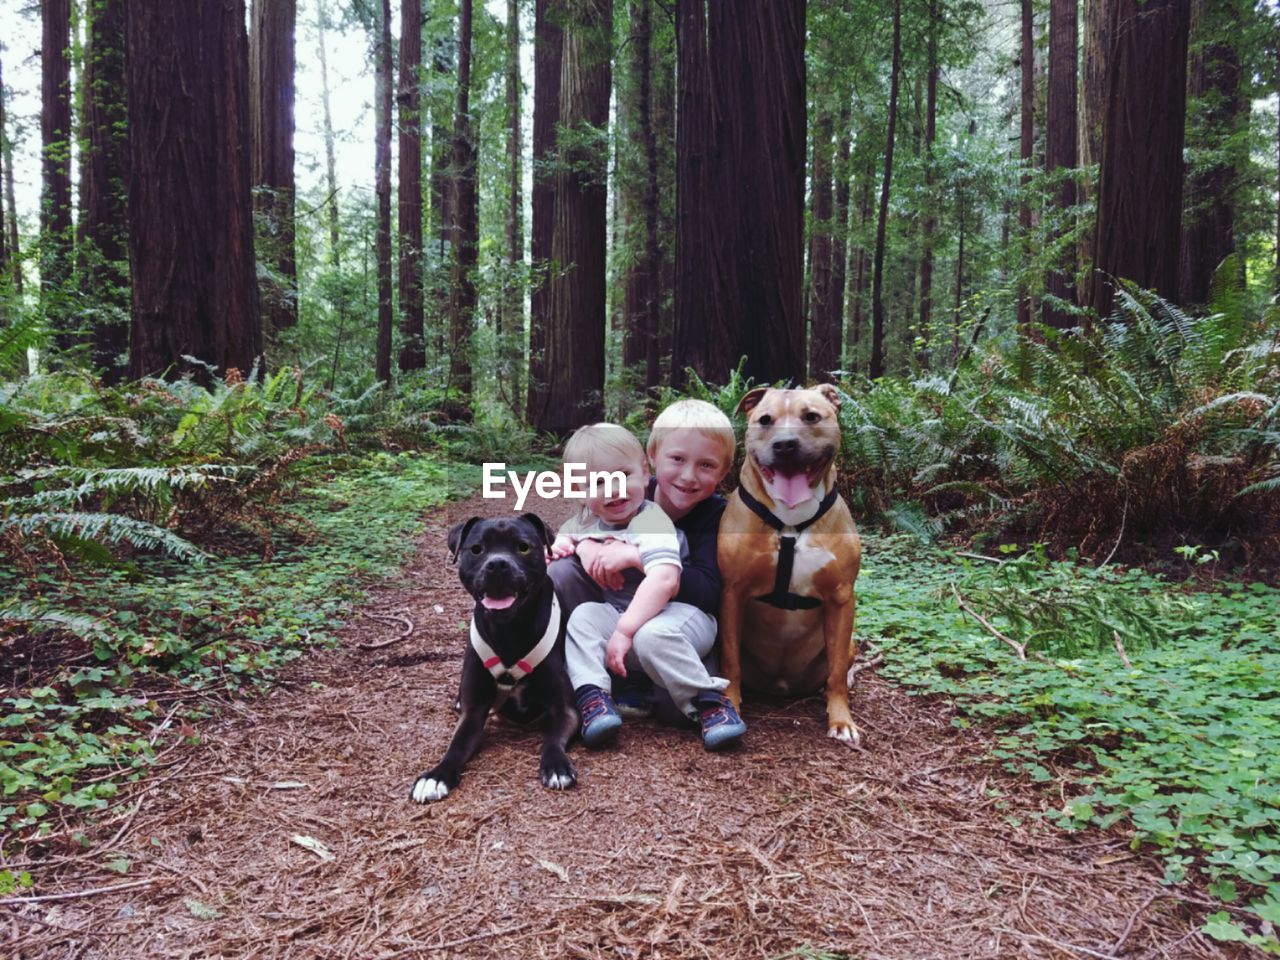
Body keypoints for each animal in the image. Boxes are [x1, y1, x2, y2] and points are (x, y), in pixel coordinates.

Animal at [407, 512, 578, 803]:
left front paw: (556, 765)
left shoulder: (565, 709)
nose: (498, 564)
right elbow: (456, 746)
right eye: (477, 549)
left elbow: (553, 739)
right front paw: (436, 775)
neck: (510, 632)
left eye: (523, 547)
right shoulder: (474, 712)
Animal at [716, 384, 865, 742]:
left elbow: (837, 671)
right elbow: (730, 660)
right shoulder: (732, 592)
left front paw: (841, 719)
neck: (790, 522)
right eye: (765, 420)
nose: (785, 444)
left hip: (849, 641)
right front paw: (730, 704)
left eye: (811, 416)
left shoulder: (842, 597)